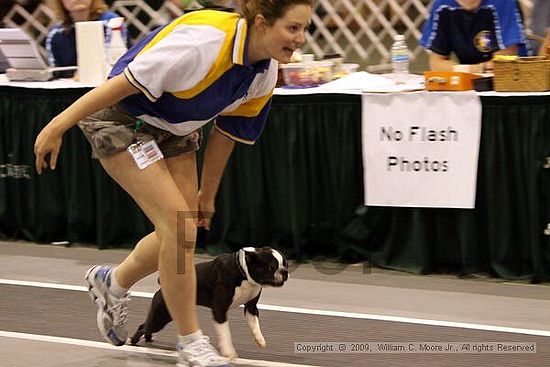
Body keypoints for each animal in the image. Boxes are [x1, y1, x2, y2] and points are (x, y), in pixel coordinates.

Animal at [131, 247, 292, 360]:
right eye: (271, 267)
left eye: (286, 264)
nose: (284, 272)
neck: (243, 273)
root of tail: (162, 285)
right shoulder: (220, 310)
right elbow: (225, 333)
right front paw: (229, 353)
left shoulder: (251, 308)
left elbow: (255, 325)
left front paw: (260, 340)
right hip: (160, 317)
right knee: (143, 326)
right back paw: (133, 341)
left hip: (165, 315)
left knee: (146, 325)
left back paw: (148, 338)